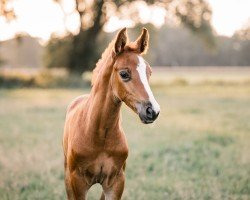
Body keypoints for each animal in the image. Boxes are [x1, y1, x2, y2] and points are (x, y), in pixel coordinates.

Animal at [62, 27, 160, 199]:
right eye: (124, 74)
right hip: (67, 175)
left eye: (149, 72)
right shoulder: (77, 183)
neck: (100, 135)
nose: (153, 111)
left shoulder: (116, 182)